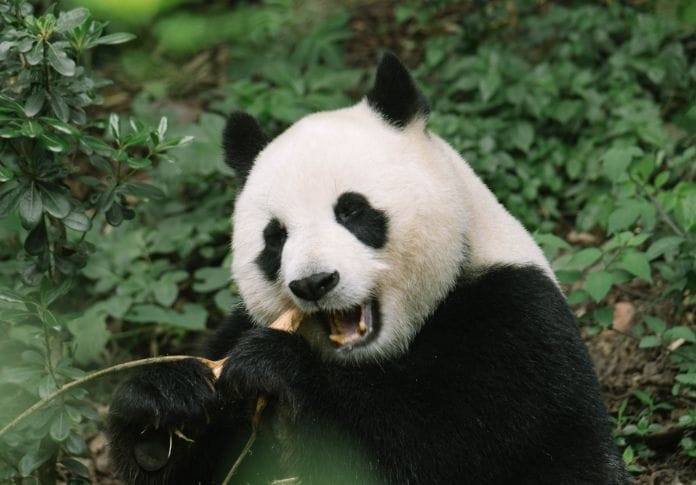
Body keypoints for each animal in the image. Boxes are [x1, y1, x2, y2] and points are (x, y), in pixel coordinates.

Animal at [108, 53, 628, 484]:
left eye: (352, 211)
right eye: (275, 237)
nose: (314, 283)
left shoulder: (514, 322)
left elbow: (443, 445)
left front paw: (279, 366)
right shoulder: (235, 334)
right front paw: (162, 406)